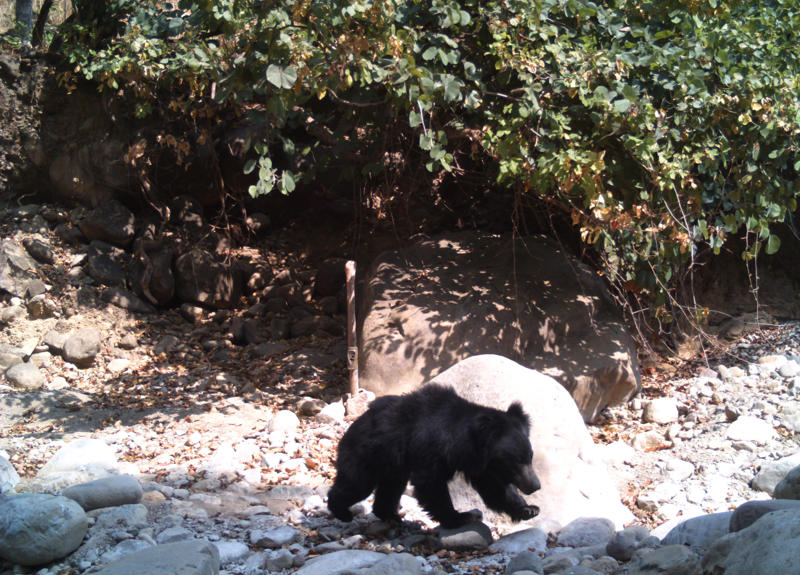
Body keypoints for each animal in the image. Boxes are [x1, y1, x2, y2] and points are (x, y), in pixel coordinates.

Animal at [327, 384, 541, 528]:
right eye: (516, 461)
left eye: (529, 457)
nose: (535, 485)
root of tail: (353, 424)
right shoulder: (429, 447)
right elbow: (431, 483)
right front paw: (459, 517)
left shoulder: (481, 464)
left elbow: (495, 489)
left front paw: (529, 509)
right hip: (369, 453)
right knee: (357, 484)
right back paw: (342, 511)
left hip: (392, 465)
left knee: (391, 487)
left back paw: (389, 515)